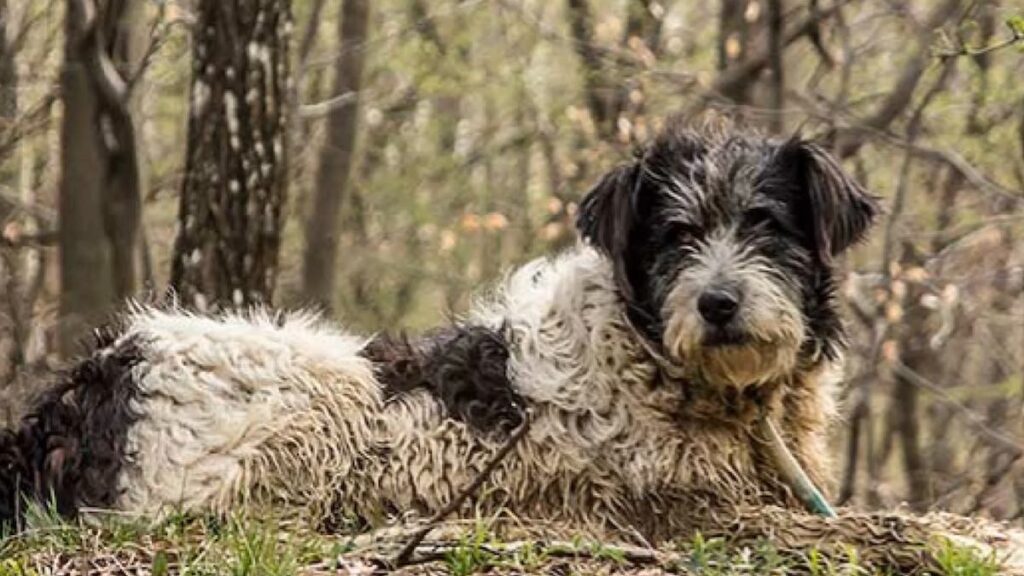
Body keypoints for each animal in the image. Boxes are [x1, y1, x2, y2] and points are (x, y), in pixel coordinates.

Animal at [0, 119, 880, 537]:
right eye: (675, 235)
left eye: (766, 225)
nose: (718, 303)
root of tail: (93, 384)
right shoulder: (684, 495)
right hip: (325, 393)